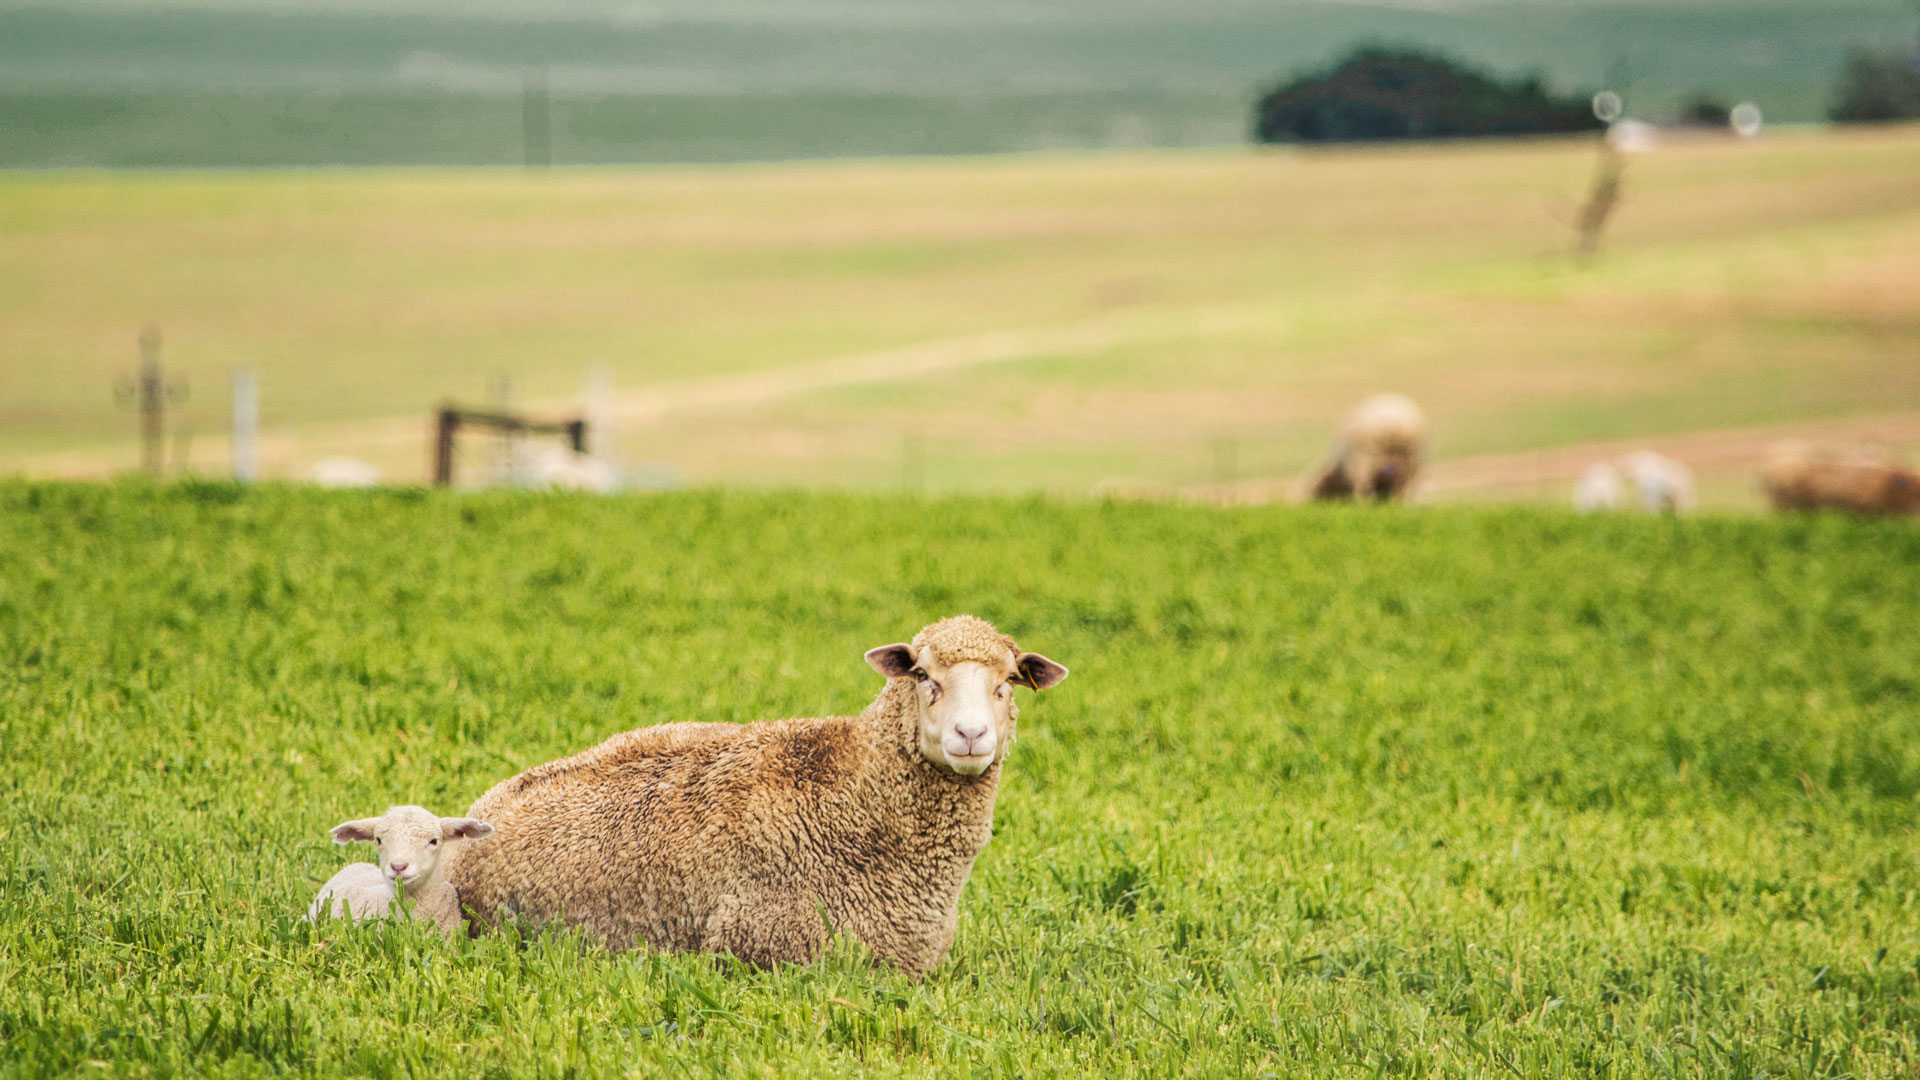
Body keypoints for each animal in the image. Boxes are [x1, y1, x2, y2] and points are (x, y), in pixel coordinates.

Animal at [449, 614, 1075, 976]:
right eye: (921, 675)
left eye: (1010, 679)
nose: (971, 735)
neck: (854, 794)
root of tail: (483, 806)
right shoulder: (765, 947)